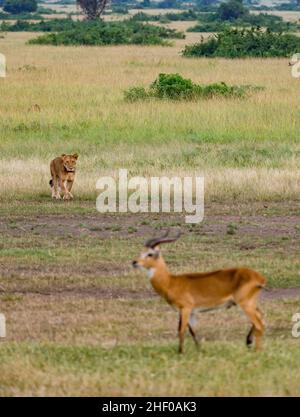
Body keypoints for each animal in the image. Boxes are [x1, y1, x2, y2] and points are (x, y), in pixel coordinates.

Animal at [132, 229, 266, 352]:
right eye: (141, 252)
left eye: (149, 254)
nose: (134, 262)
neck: (171, 282)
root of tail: (259, 278)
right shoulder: (190, 312)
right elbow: (192, 332)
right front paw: (199, 349)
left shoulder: (186, 309)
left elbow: (181, 331)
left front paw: (180, 353)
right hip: (251, 303)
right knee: (261, 317)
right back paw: (249, 342)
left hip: (245, 304)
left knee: (259, 324)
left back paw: (256, 350)